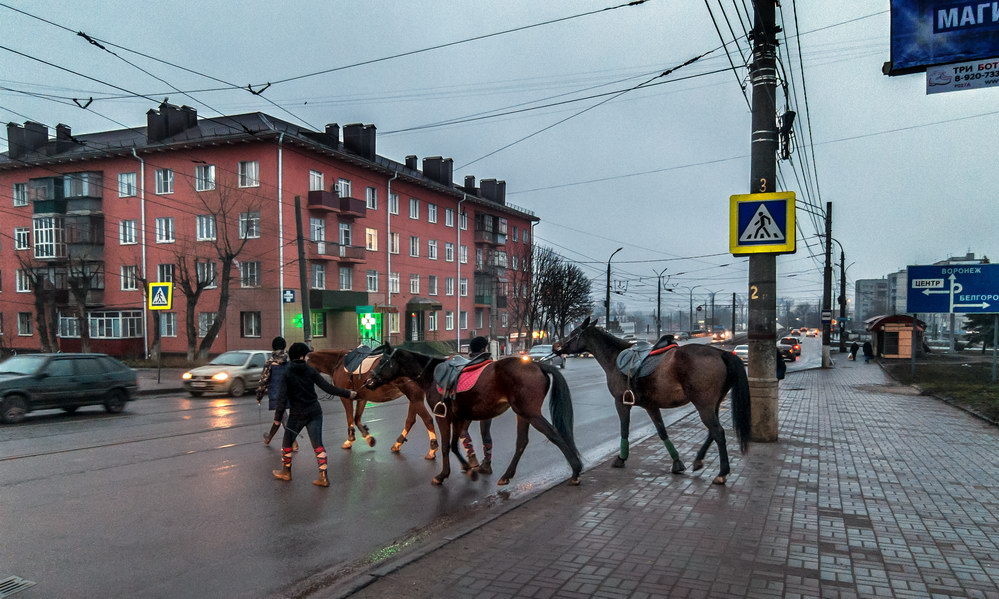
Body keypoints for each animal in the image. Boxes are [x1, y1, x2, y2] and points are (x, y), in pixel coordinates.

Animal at [310, 346, 440, 460]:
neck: (339, 363)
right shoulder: (362, 398)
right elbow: (357, 419)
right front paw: (369, 438)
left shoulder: (346, 398)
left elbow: (350, 419)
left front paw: (350, 439)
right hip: (414, 398)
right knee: (410, 421)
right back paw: (398, 444)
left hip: (414, 397)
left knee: (427, 420)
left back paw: (432, 450)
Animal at [366, 346, 584, 488]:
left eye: (383, 361)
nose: (369, 381)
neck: (433, 375)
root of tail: (538, 365)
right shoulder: (459, 418)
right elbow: (455, 445)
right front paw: (468, 468)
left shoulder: (443, 417)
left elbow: (445, 447)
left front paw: (442, 475)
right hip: (522, 414)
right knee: (522, 442)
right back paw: (506, 475)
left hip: (530, 413)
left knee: (554, 435)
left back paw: (575, 470)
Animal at [556, 316, 752, 486]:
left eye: (573, 332)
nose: (557, 346)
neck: (615, 358)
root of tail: (721, 353)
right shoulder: (651, 406)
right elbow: (662, 431)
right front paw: (677, 462)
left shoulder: (621, 403)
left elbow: (624, 429)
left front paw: (621, 458)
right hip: (713, 405)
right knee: (713, 431)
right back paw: (698, 461)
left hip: (703, 405)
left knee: (718, 432)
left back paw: (722, 473)